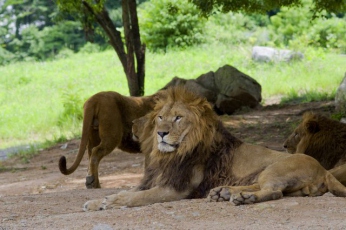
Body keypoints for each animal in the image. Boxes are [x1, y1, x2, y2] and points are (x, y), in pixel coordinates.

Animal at [82, 86, 346, 210]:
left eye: (178, 118)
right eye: (160, 118)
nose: (161, 133)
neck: (170, 155)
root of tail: (324, 171)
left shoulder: (175, 188)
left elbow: (134, 197)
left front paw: (108, 203)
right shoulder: (152, 180)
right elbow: (128, 192)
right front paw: (96, 202)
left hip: (276, 168)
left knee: (274, 192)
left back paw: (243, 197)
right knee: (266, 187)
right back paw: (225, 192)